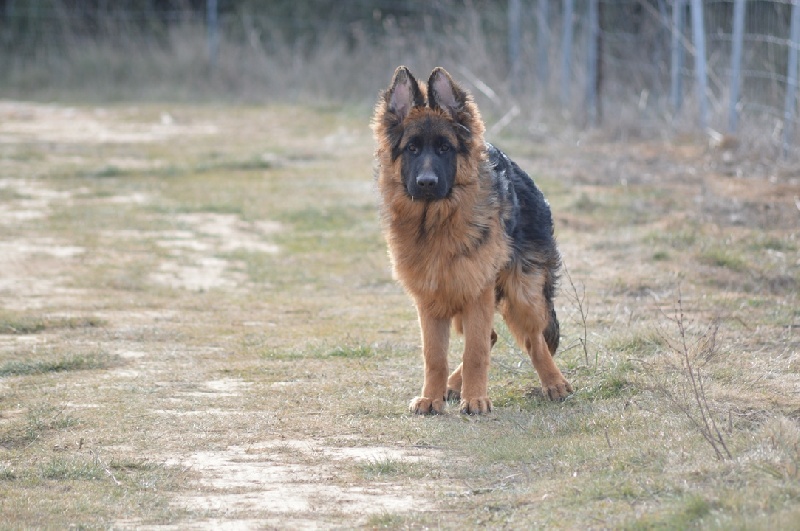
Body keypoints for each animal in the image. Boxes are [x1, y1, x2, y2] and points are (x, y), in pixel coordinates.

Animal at [372, 66, 572, 416]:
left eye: (444, 149)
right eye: (412, 149)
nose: (426, 183)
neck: (437, 222)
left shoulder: (478, 291)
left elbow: (476, 351)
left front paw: (476, 399)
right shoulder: (430, 299)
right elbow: (434, 356)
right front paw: (432, 397)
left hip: (522, 292)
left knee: (533, 338)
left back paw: (554, 383)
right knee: (492, 336)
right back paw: (453, 386)